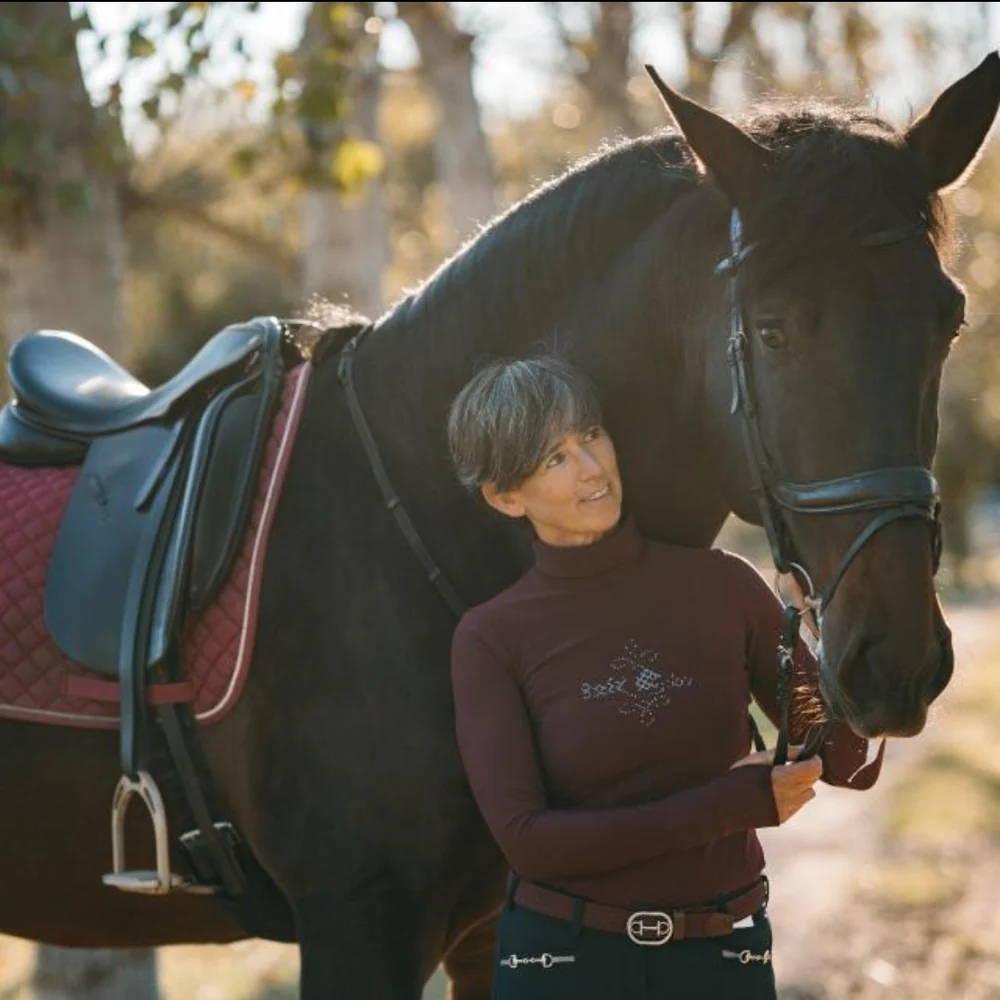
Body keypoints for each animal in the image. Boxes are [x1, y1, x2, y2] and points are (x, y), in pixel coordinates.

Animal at [1, 54, 997, 999]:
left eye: (949, 321)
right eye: (775, 330)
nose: (898, 661)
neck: (410, 522)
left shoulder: (488, 930)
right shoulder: (359, 931)